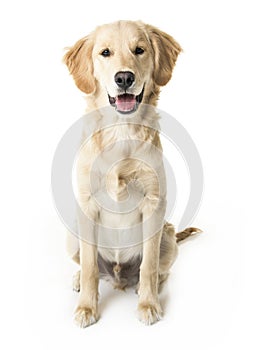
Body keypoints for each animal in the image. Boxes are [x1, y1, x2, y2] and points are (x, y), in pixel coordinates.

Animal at [63, 20, 199, 326]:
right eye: (105, 52)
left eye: (139, 50)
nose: (124, 78)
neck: (120, 132)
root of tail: (117, 274)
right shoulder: (86, 205)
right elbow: (89, 267)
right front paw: (86, 308)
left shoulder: (153, 204)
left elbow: (147, 265)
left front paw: (149, 305)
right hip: (73, 232)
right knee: (90, 267)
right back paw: (78, 279)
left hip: (167, 235)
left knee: (158, 270)